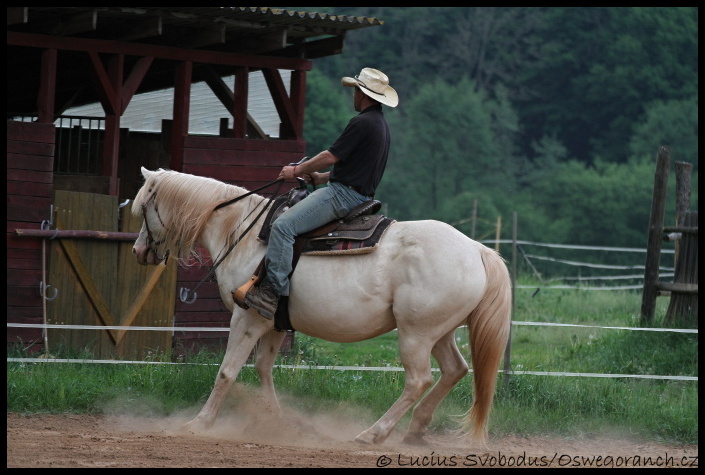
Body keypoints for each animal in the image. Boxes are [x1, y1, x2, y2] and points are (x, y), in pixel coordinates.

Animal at [129, 167, 508, 446]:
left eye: (144, 208)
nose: (138, 251)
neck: (242, 231)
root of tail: (477, 249)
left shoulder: (246, 317)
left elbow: (227, 371)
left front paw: (200, 423)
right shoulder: (274, 321)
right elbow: (264, 369)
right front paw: (278, 422)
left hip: (415, 334)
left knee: (418, 380)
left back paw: (373, 434)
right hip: (439, 332)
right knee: (454, 370)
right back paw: (415, 431)